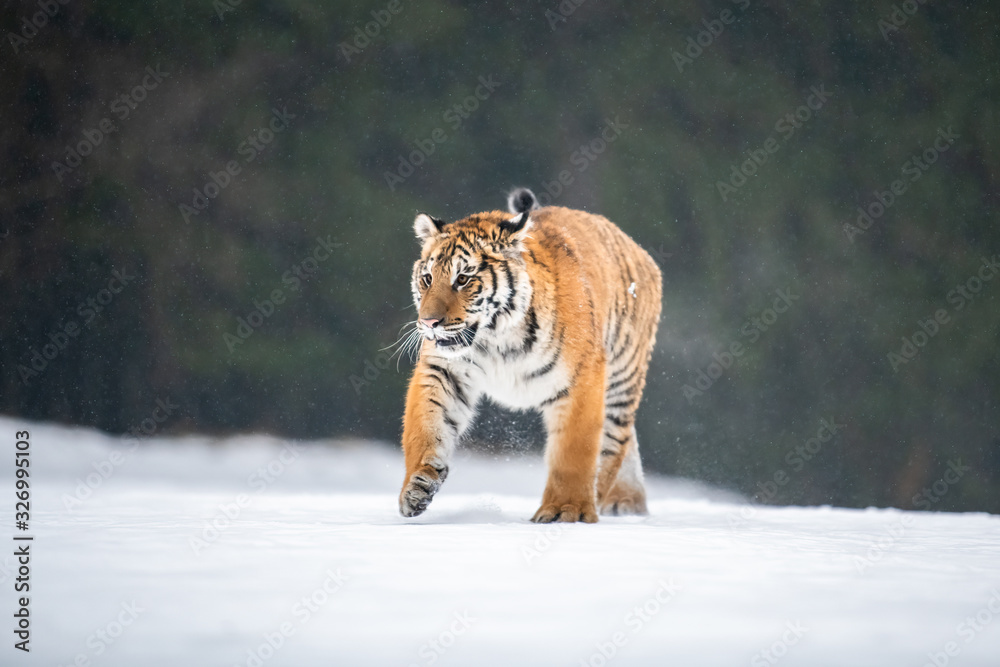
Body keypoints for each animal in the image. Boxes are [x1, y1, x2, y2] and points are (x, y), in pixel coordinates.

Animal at [399, 188, 662, 523]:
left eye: (463, 279)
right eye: (428, 278)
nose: (429, 323)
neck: (497, 337)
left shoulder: (583, 377)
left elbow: (574, 451)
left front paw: (567, 510)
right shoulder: (444, 371)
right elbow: (426, 425)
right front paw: (417, 487)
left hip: (621, 381)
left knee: (614, 444)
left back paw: (608, 500)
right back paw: (628, 501)